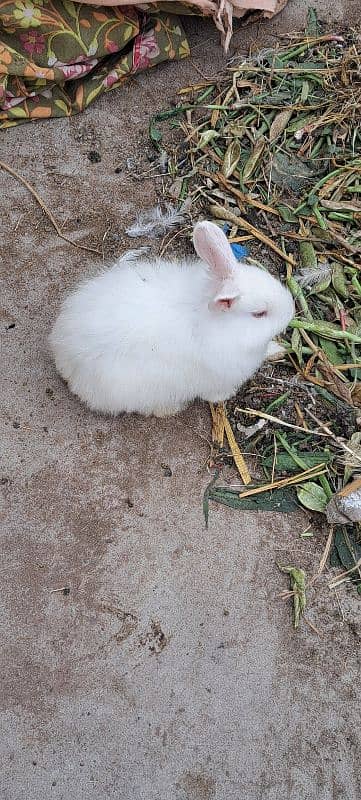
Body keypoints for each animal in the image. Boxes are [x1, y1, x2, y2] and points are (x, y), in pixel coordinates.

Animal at [50, 220, 292, 416]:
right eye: (259, 314)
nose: (291, 312)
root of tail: (61, 351)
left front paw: (277, 349)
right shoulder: (216, 380)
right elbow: (215, 395)